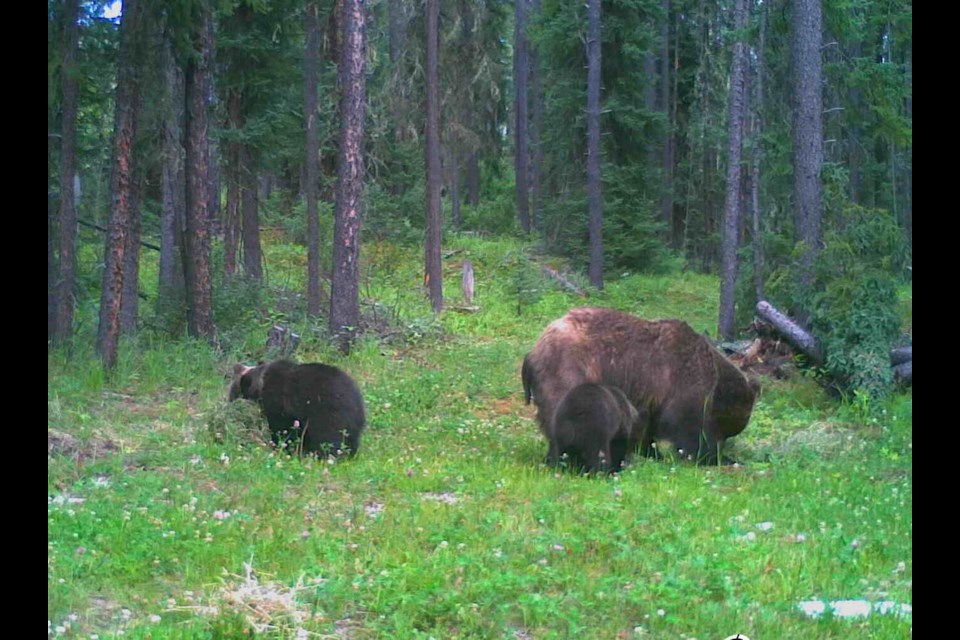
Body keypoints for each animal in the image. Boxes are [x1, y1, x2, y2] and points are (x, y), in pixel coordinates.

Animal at [229, 358, 368, 458]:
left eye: (232, 394)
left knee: (327, 437)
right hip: (352, 424)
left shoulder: (278, 404)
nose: (229, 403)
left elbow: (281, 428)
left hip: (328, 413)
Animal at [524, 308, 756, 462]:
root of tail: (534, 349)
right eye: (730, 428)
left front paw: (652, 452)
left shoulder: (654, 397)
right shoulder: (684, 382)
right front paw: (713, 456)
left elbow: (649, 428)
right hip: (569, 370)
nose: (725, 444)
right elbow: (687, 424)